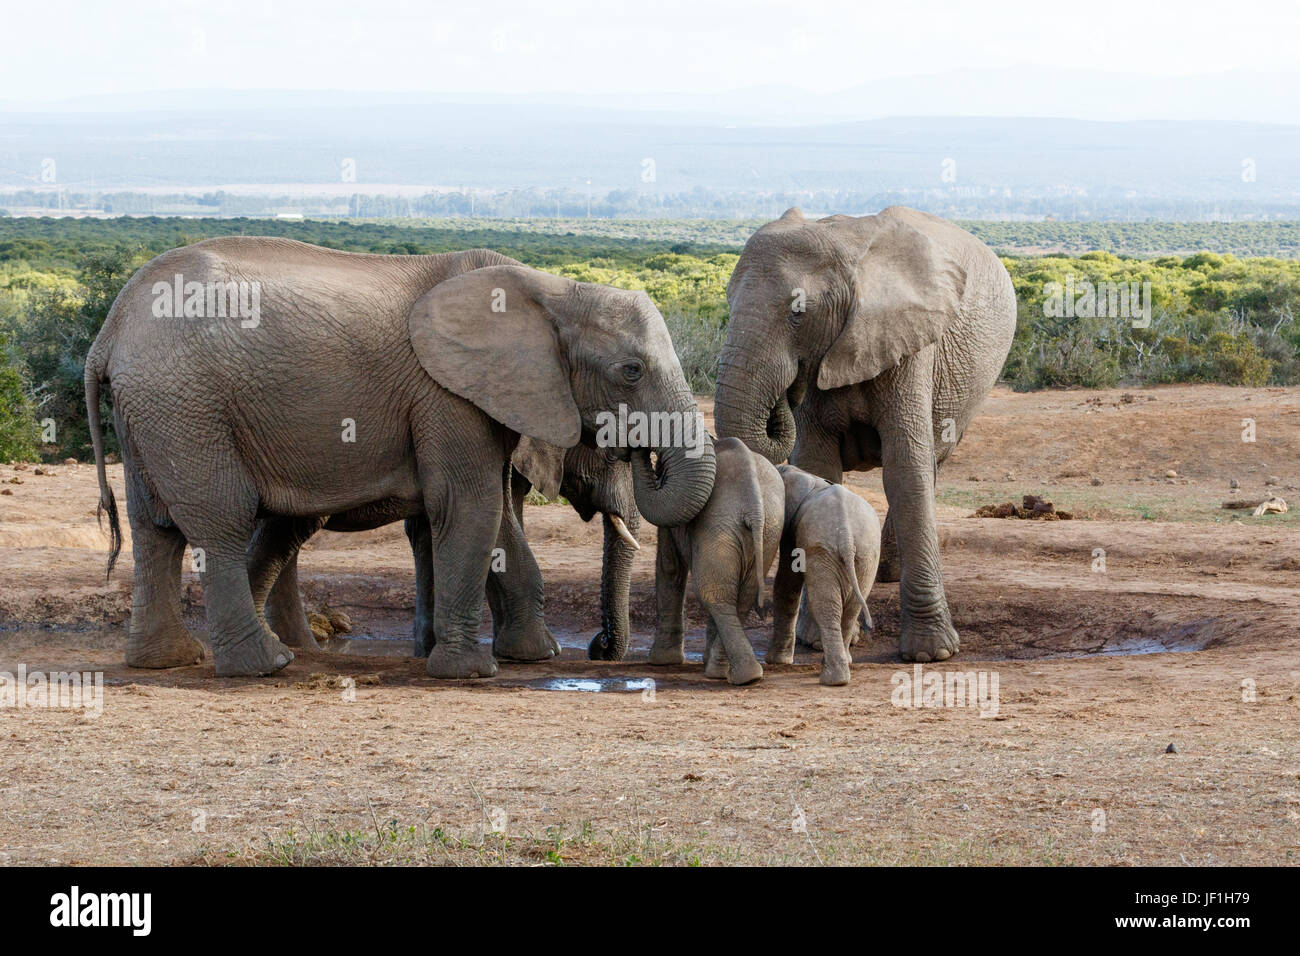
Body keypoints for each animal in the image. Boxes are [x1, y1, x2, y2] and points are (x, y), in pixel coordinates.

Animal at [256, 437, 642, 660]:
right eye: (610, 454)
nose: (599, 645)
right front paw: (544, 650)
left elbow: (433, 531)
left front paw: (429, 648)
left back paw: (298, 646)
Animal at [647, 437, 780, 686]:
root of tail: (754, 504)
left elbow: (670, 567)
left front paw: (661, 661)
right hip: (768, 529)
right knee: (741, 596)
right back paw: (739, 674)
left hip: (721, 526)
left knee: (713, 593)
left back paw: (726, 674)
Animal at [712, 205, 1013, 660]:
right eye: (728, 304)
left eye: (798, 312)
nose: (786, 393)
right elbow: (819, 470)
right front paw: (821, 639)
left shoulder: (911, 345)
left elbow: (906, 471)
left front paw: (930, 653)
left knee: (931, 463)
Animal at [769, 465, 883, 686]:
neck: (808, 477)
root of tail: (846, 535)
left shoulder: (792, 530)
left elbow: (787, 582)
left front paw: (776, 661)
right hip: (866, 554)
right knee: (851, 607)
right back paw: (842, 668)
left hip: (826, 551)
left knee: (826, 604)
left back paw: (832, 679)